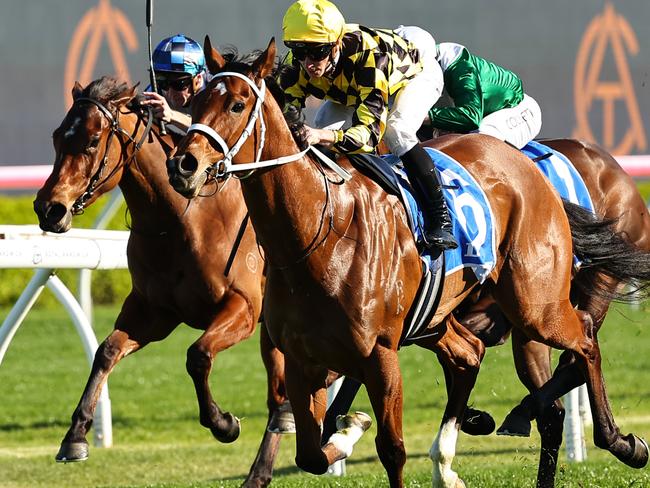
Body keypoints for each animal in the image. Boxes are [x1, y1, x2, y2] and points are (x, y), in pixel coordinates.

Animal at [33, 78, 276, 470]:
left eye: (92, 140)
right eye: (57, 136)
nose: (49, 208)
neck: (182, 219)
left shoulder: (244, 306)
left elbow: (198, 354)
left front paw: (223, 423)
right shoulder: (154, 312)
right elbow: (106, 351)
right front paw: (75, 436)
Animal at [167, 36, 648, 486]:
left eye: (237, 103)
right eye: (196, 101)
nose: (183, 164)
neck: (317, 233)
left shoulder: (380, 354)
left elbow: (392, 449)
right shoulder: (304, 358)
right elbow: (310, 453)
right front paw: (348, 430)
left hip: (535, 306)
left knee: (582, 340)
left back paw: (622, 443)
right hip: (443, 319)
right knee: (471, 356)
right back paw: (451, 460)